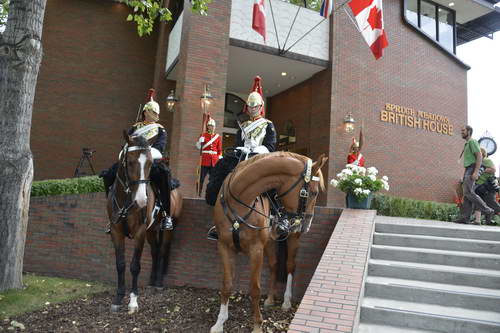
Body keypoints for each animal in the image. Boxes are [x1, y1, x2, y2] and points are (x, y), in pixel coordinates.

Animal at [106, 132, 183, 312]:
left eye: (149, 163)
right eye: (130, 162)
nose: (142, 200)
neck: (127, 199)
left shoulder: (139, 232)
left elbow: (135, 265)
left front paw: (133, 301)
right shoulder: (116, 232)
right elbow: (120, 264)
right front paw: (118, 298)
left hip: (167, 230)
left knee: (162, 251)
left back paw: (159, 283)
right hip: (151, 230)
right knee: (155, 251)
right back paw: (152, 281)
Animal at [209, 151, 326, 332]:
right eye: (314, 192)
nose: (306, 224)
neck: (240, 199)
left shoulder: (256, 250)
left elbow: (255, 288)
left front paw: (257, 324)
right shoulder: (224, 247)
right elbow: (227, 285)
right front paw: (220, 322)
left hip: (292, 238)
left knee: (290, 266)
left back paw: (286, 301)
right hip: (270, 241)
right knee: (274, 265)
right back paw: (270, 299)